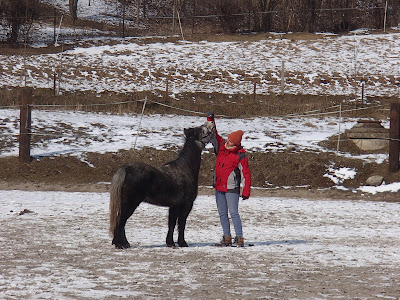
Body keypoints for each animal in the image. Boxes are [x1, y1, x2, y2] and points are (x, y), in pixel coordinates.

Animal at [109, 119, 216, 248]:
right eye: (202, 129)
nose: (211, 123)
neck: (186, 168)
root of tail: (125, 169)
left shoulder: (174, 205)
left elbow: (172, 224)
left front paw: (170, 242)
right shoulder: (186, 204)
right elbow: (181, 223)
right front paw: (182, 243)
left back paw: (123, 243)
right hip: (130, 204)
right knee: (121, 221)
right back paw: (119, 244)